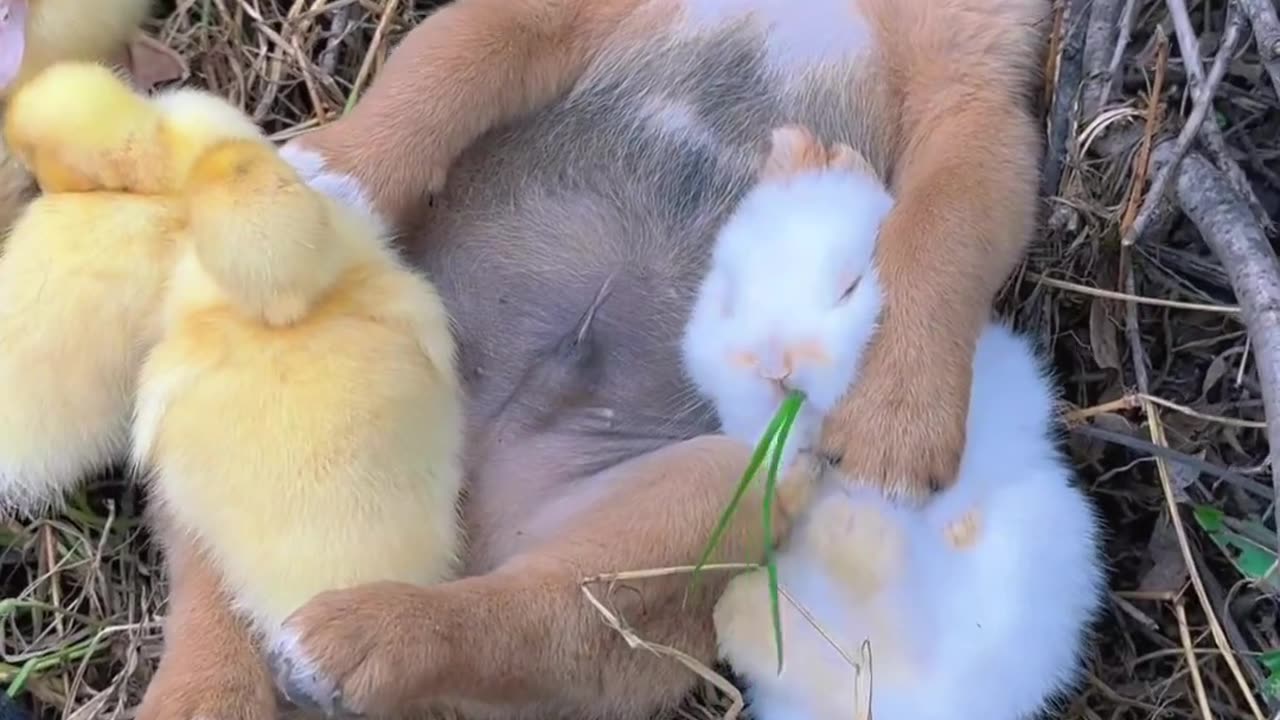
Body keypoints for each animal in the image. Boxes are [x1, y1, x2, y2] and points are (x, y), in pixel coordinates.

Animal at [140, 1, 1044, 717]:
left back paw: (364, 637)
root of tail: (461, 520)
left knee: (532, 617)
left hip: (712, 492)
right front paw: (335, 173)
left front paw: (900, 419)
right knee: (215, 594)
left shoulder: (974, 92)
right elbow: (446, 62)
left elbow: (942, 235)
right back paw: (204, 698)